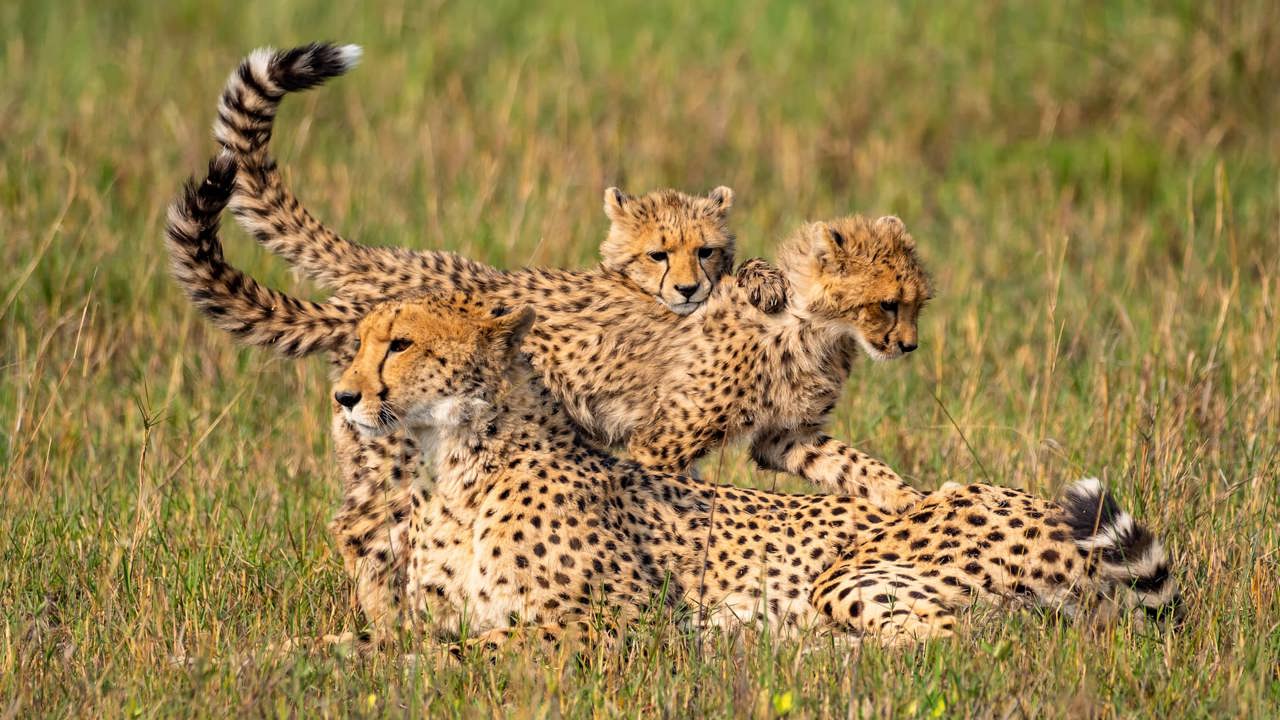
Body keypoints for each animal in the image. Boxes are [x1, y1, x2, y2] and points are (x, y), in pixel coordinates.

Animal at [166, 154, 929, 631]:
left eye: (915, 303)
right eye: (888, 304)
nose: (909, 346)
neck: (815, 324)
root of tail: (375, 283)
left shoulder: (784, 436)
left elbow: (853, 465)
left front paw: (906, 501)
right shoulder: (665, 439)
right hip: (394, 453)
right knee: (360, 528)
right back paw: (390, 619)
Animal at [328, 292, 1180, 651]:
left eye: (399, 344)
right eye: (361, 341)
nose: (343, 396)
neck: (455, 464)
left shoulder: (629, 618)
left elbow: (482, 648)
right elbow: (385, 635)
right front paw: (327, 652)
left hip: (853, 574)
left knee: (961, 640)